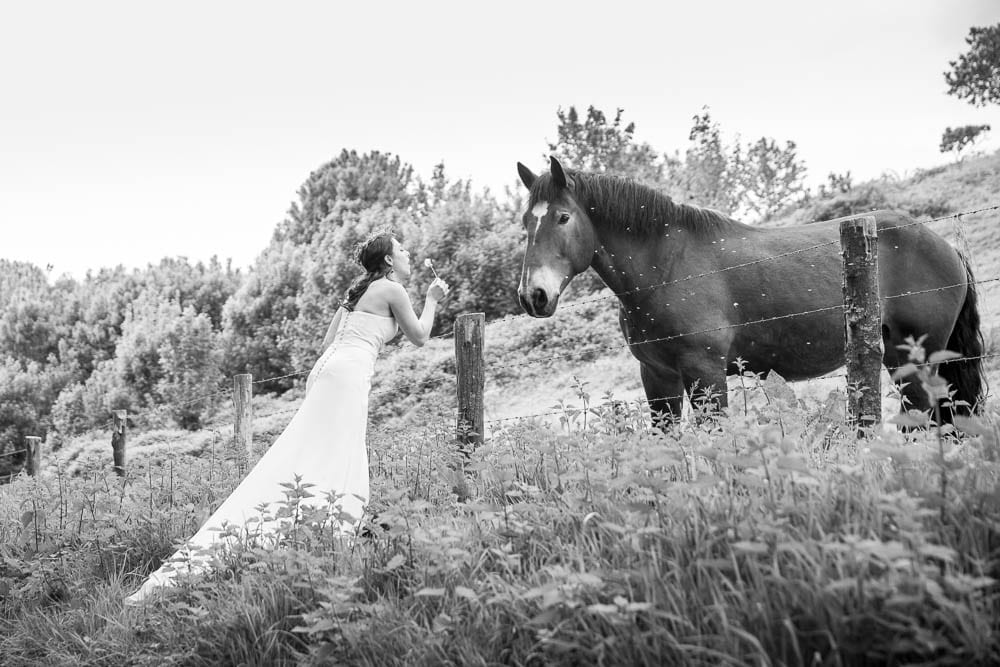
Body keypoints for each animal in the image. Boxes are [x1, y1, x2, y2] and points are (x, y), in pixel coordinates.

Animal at [516, 156, 984, 426]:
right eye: (525, 222)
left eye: (562, 217)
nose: (532, 295)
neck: (666, 269)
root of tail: (947, 248)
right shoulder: (658, 376)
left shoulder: (705, 373)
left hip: (914, 357)